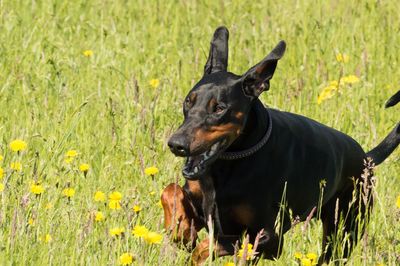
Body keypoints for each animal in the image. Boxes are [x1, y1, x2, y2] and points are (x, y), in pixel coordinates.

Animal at [161, 27, 398, 264]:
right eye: (188, 101)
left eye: (219, 108)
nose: (176, 144)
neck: (226, 166)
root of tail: (366, 158)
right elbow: (170, 191)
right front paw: (181, 230)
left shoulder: (268, 239)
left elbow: (212, 243)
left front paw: (194, 248)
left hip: (343, 233)